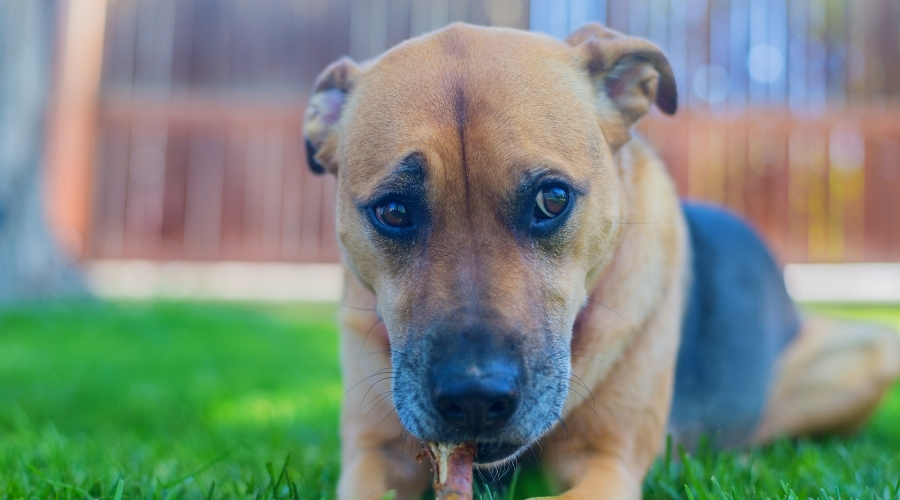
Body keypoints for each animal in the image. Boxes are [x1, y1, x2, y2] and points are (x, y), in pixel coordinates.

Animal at [304, 21, 900, 498]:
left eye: (552, 199)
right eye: (393, 210)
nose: (475, 398)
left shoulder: (607, 464)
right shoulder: (373, 454)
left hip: (863, 358)